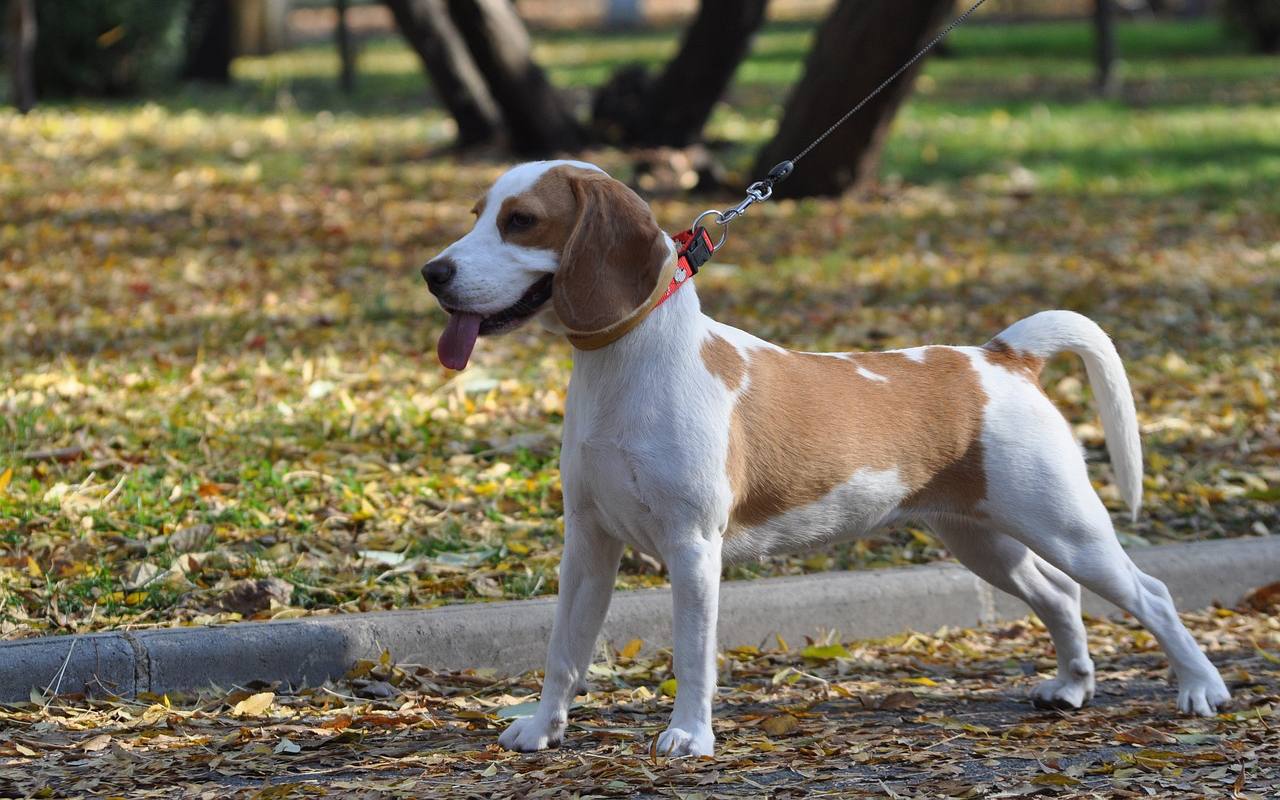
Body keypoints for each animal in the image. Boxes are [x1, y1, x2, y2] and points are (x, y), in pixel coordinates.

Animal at [424, 159, 1233, 752]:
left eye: (521, 221)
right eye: (475, 214)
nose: (432, 273)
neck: (627, 364)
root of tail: (1000, 357)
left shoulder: (693, 549)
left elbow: (692, 655)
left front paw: (689, 736)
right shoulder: (588, 543)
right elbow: (564, 649)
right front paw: (541, 729)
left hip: (1068, 528)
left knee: (1150, 594)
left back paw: (1200, 689)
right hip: (984, 540)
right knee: (1061, 596)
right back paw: (1070, 687)